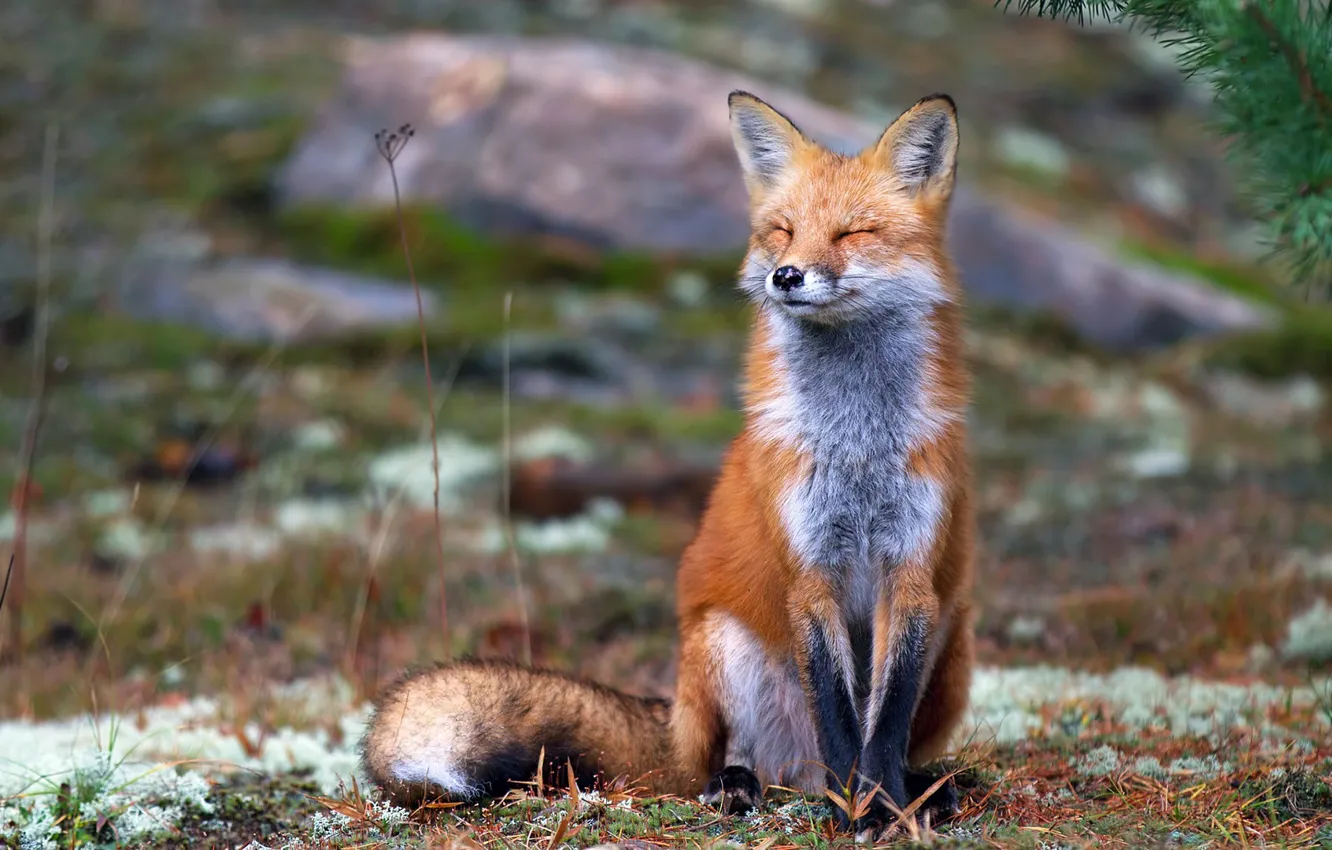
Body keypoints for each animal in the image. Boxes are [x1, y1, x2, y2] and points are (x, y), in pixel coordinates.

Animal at [360, 90, 975, 838]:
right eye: (782, 231)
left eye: (852, 233)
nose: (785, 276)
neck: (855, 443)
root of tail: (675, 721)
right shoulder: (809, 572)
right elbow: (839, 715)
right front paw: (853, 810)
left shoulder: (910, 574)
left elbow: (880, 724)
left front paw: (883, 806)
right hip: (721, 646)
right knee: (732, 764)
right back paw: (742, 787)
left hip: (952, 634)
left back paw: (928, 787)